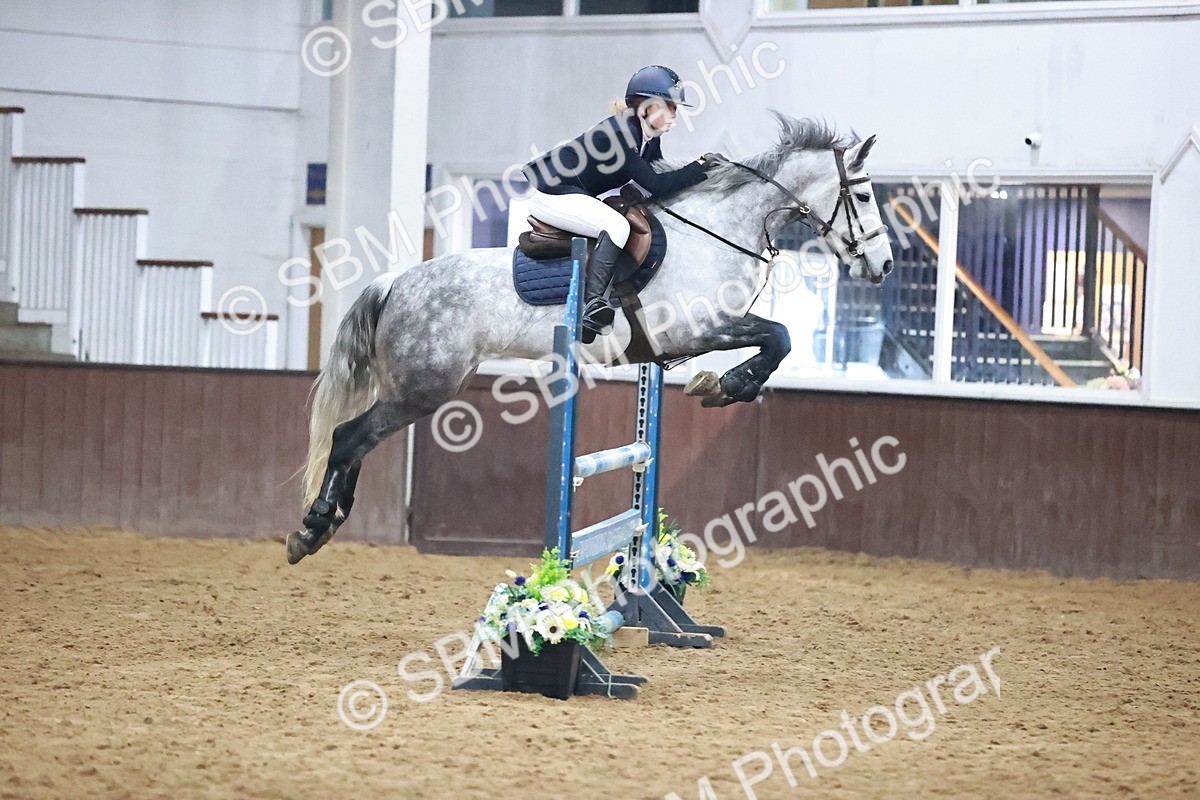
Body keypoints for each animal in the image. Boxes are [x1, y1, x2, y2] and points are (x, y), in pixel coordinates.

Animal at [286, 114, 895, 564]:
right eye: (865, 195)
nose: (885, 265)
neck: (720, 231)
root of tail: (396, 282)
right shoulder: (701, 328)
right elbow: (779, 337)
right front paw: (727, 386)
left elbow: (775, 340)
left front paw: (722, 385)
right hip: (424, 388)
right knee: (348, 436)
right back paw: (311, 529)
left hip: (424, 387)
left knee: (357, 441)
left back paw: (325, 523)